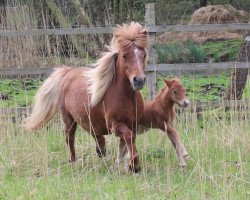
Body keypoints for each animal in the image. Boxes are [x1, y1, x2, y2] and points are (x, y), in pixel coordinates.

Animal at [24, 21, 148, 172]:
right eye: (124, 55)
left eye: (143, 55)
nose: (139, 80)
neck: (125, 96)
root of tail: (67, 72)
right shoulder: (115, 125)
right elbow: (128, 138)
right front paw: (134, 165)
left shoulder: (133, 124)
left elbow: (126, 144)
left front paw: (128, 164)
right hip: (69, 119)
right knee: (69, 137)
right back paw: (73, 161)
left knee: (95, 135)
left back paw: (100, 150)